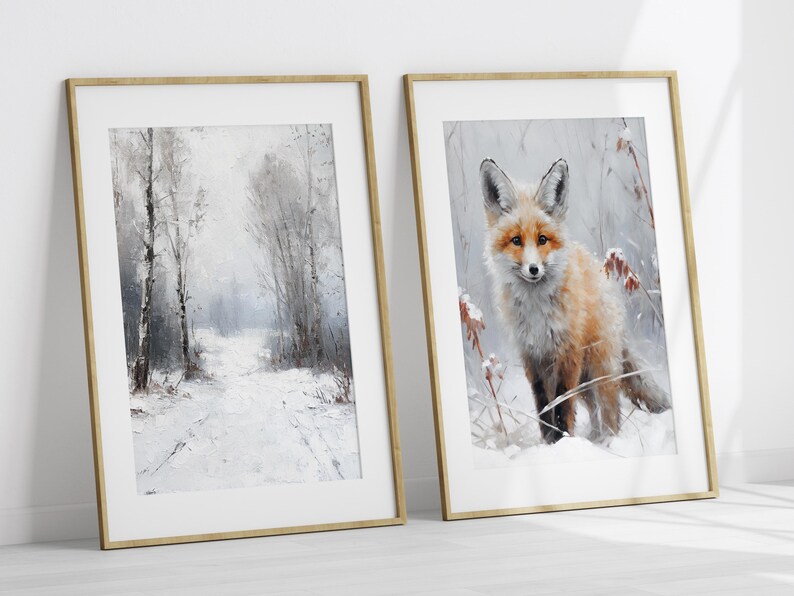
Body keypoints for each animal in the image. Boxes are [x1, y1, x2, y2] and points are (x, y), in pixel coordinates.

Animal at [480, 157, 669, 444]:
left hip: (598, 367)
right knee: (594, 409)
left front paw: (563, 440)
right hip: (584, 380)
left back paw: (609, 442)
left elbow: (561, 404)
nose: (533, 269)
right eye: (516, 241)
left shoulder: (567, 352)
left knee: (610, 408)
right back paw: (594, 438)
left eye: (542, 239)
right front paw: (549, 442)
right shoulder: (533, 356)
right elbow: (543, 405)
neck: (537, 312)